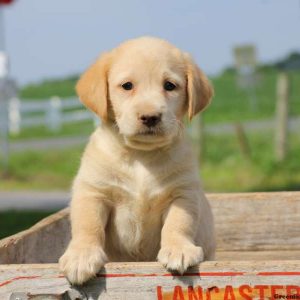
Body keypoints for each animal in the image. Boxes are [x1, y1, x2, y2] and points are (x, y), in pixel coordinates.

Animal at [59, 37, 216, 284]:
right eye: (127, 86)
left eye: (170, 86)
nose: (150, 117)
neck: (141, 156)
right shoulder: (93, 192)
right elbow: (88, 225)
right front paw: (81, 256)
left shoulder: (183, 193)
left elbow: (179, 223)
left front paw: (179, 249)